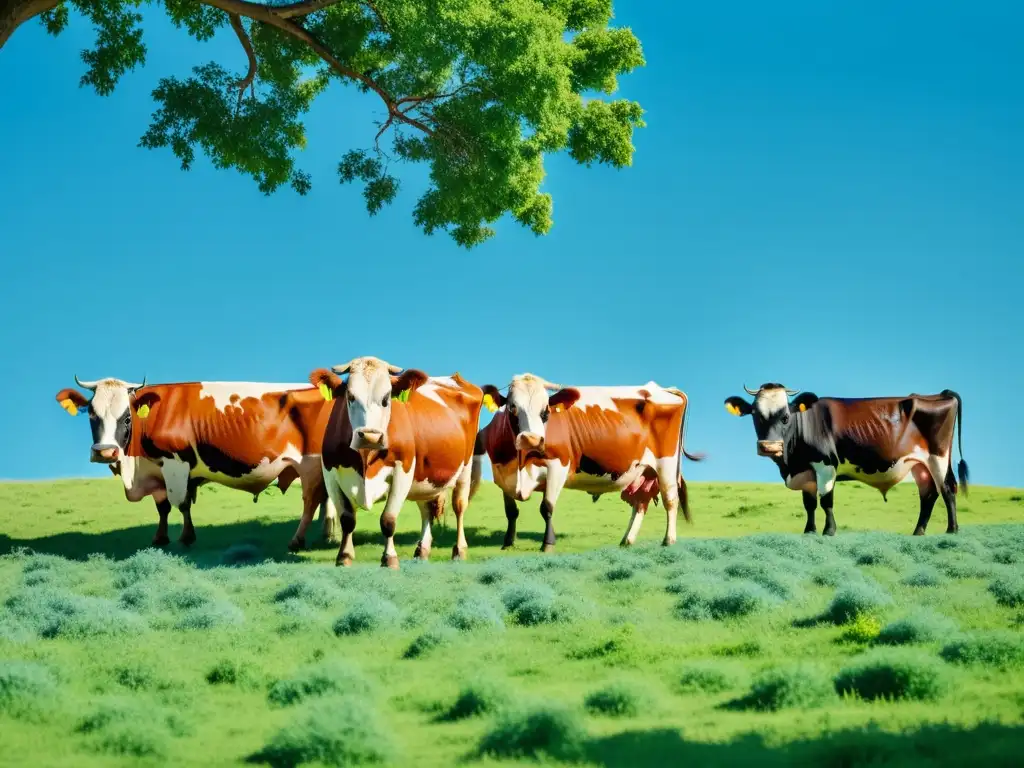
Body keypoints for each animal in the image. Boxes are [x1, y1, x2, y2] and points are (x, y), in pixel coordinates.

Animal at [56, 376, 337, 548]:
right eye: (92, 415)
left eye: (126, 417)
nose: (105, 452)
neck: (134, 469)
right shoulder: (156, 470)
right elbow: (162, 508)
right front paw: (160, 537)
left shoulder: (175, 464)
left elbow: (180, 503)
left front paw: (187, 537)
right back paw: (326, 534)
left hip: (310, 465)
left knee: (312, 500)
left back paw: (298, 540)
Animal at [307, 358, 483, 569]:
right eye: (350, 396)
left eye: (386, 398)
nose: (371, 436)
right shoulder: (330, 474)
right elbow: (347, 520)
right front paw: (344, 557)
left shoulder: (403, 470)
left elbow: (388, 520)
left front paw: (389, 558)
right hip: (423, 477)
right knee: (426, 510)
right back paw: (422, 551)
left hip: (465, 467)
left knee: (459, 506)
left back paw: (459, 551)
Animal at [473, 374, 704, 548]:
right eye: (512, 408)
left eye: (546, 411)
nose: (532, 440)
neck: (521, 467)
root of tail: (663, 389)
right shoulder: (503, 473)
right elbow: (511, 512)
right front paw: (507, 543)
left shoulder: (558, 466)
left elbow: (547, 507)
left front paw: (548, 544)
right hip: (643, 471)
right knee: (641, 502)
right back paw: (626, 541)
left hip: (666, 464)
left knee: (670, 499)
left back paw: (668, 540)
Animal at [720, 382, 966, 536]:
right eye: (755, 415)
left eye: (786, 417)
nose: (769, 447)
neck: (791, 463)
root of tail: (940, 395)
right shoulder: (807, 472)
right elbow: (809, 504)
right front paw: (809, 531)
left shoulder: (826, 465)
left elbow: (826, 501)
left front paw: (829, 531)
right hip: (919, 464)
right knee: (929, 494)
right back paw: (918, 532)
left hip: (938, 457)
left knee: (947, 489)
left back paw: (951, 530)